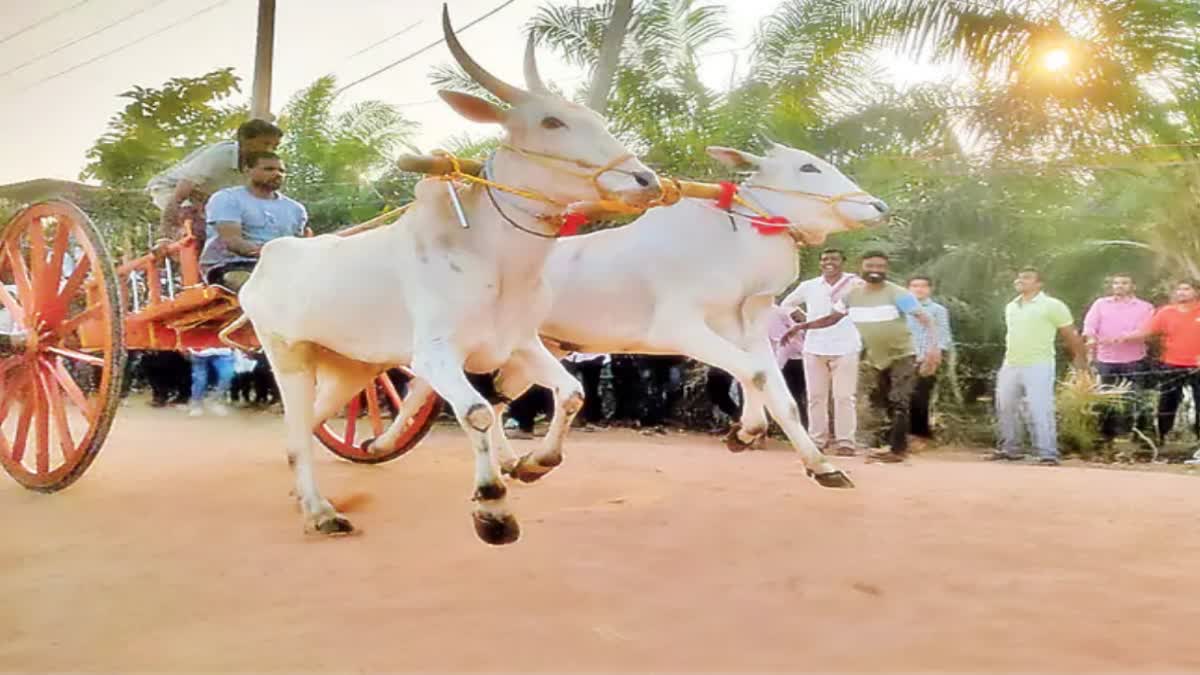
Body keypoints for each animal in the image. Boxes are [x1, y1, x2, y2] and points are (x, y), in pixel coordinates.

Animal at [237, 5, 662, 538]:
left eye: (598, 119)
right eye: (551, 121)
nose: (647, 181)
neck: (496, 260)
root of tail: (267, 262)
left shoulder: (519, 343)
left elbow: (570, 394)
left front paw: (534, 463)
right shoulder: (435, 353)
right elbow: (478, 413)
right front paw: (492, 505)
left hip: (352, 369)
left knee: (307, 426)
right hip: (288, 355)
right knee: (297, 428)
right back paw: (321, 510)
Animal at [374, 144, 892, 485]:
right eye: (808, 166)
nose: (879, 205)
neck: (733, 241)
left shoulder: (748, 329)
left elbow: (777, 392)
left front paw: (818, 463)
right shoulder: (681, 327)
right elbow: (757, 376)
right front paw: (746, 432)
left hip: (531, 350)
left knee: (497, 400)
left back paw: (516, 462)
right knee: (422, 387)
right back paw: (382, 444)